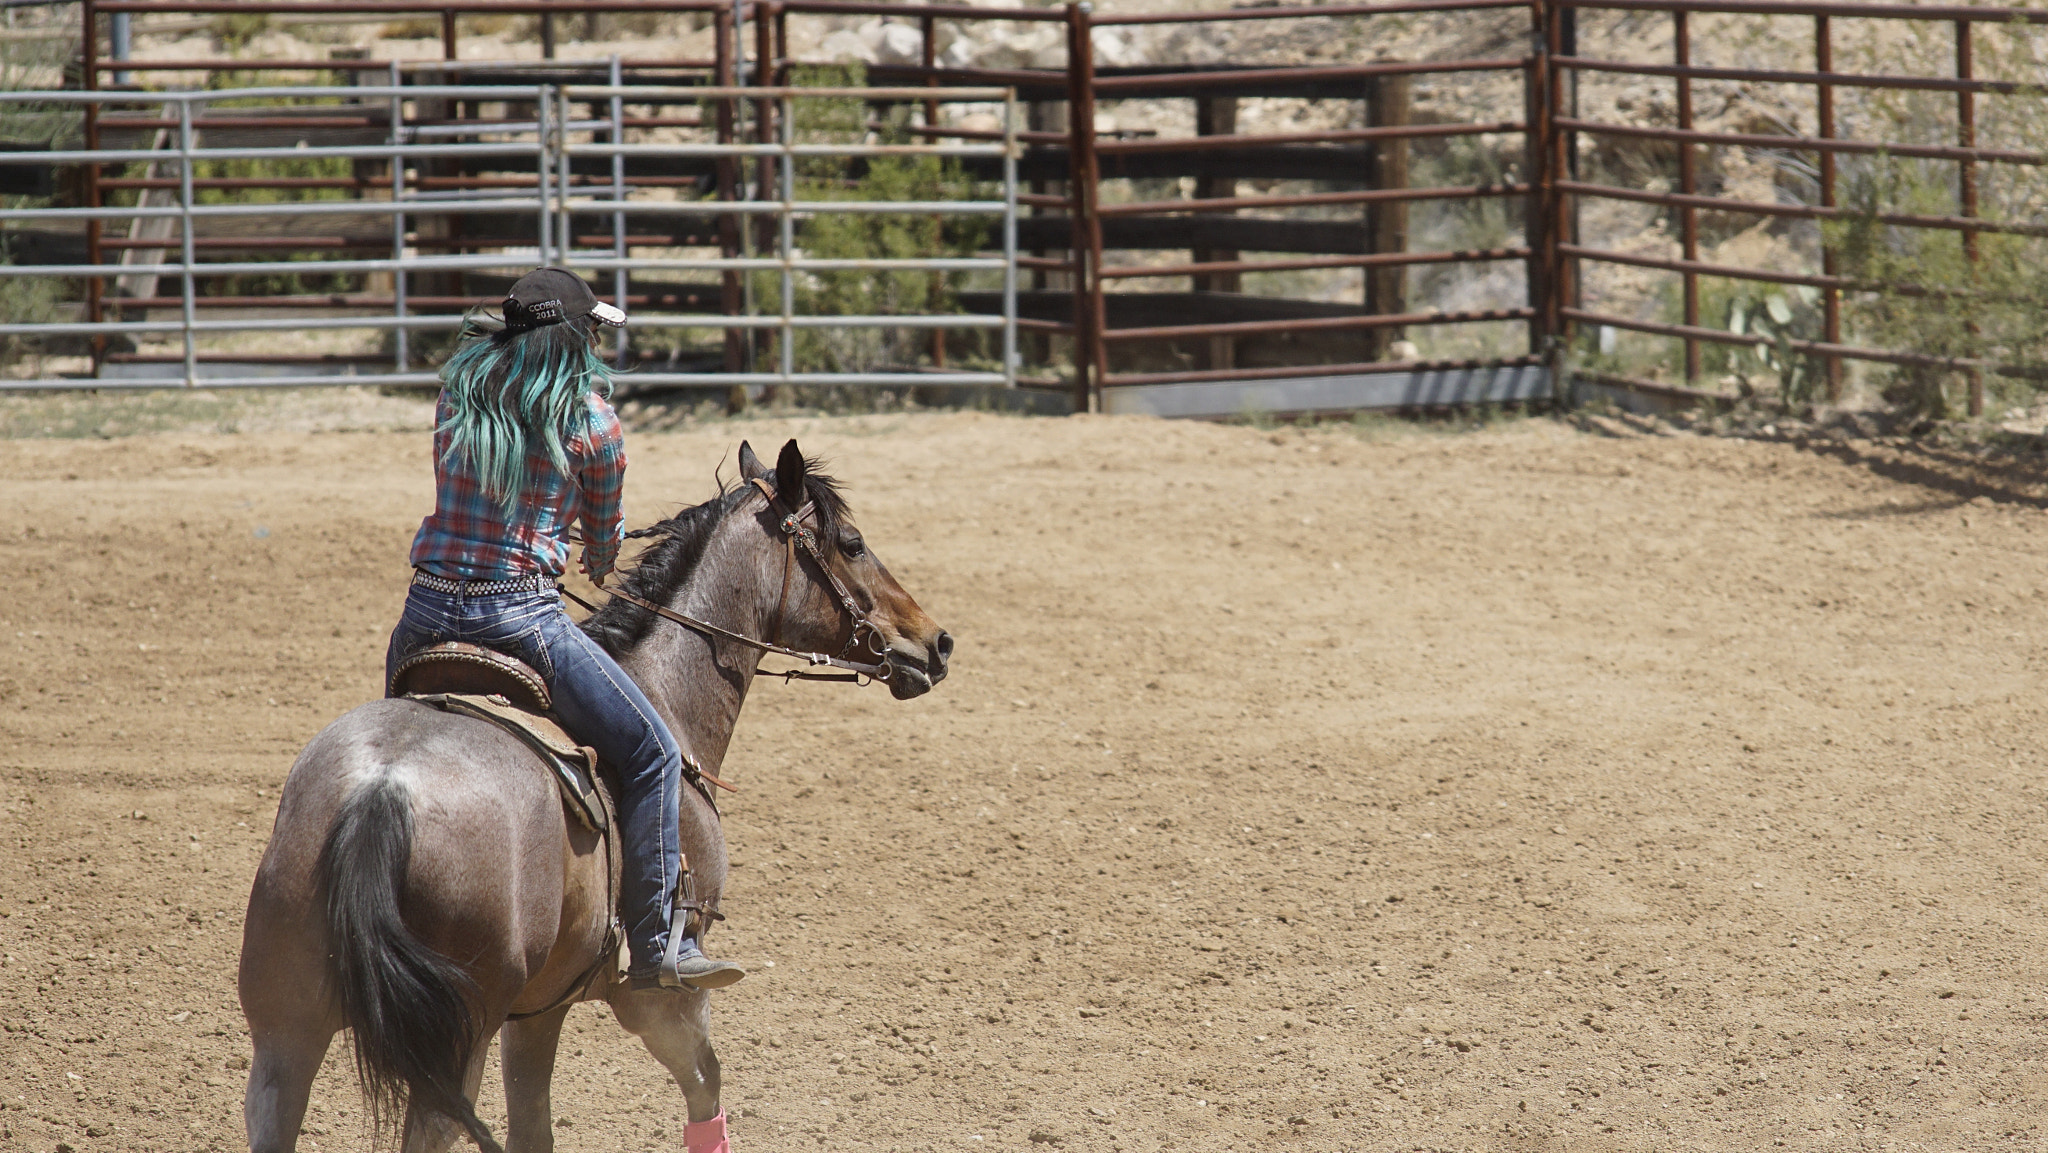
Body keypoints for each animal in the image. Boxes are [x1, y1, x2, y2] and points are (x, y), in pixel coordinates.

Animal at [237, 442, 950, 1153]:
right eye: (853, 543)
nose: (936, 641)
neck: (667, 691)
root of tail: (383, 789)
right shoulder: (657, 994)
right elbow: (706, 1080)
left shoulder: (537, 1009)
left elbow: (534, 1124)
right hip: (452, 1040)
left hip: (286, 1030)